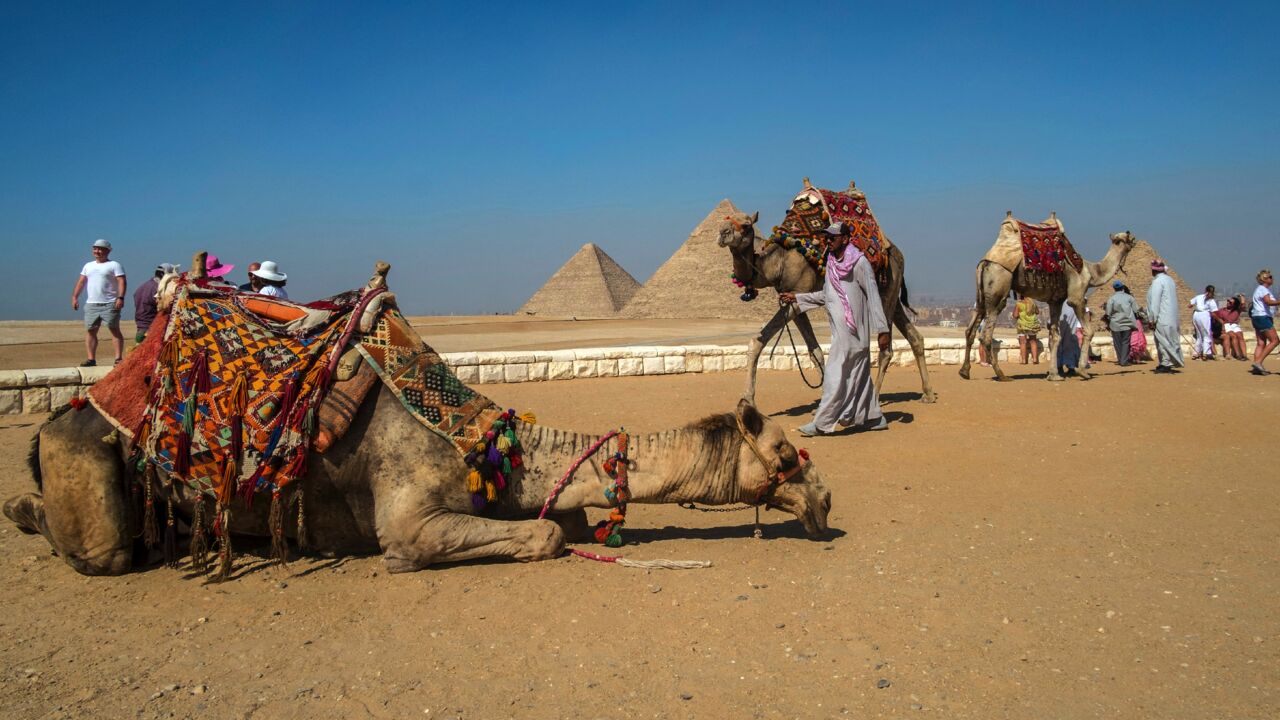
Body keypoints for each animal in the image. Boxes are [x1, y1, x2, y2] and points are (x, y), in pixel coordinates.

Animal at [4, 262, 831, 578]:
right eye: (787, 452)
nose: (825, 501)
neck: (486, 442)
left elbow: (561, 521)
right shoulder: (410, 517)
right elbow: (541, 537)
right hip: (92, 474)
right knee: (103, 547)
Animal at [718, 180, 937, 404]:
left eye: (746, 225)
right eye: (723, 222)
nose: (722, 233)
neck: (778, 261)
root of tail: (898, 253)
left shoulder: (796, 298)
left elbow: (757, 342)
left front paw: (746, 400)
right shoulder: (793, 299)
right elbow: (815, 351)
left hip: (885, 289)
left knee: (886, 348)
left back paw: (875, 397)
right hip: (892, 292)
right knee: (914, 337)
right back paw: (927, 394)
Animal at [959, 211, 1137, 382]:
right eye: (1131, 238)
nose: (1135, 241)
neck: (1091, 272)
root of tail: (985, 262)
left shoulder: (1055, 301)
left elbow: (1054, 336)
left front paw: (1054, 374)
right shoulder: (1077, 296)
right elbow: (1088, 331)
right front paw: (1082, 372)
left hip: (981, 295)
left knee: (971, 329)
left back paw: (964, 371)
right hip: (998, 287)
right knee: (986, 334)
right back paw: (1002, 375)